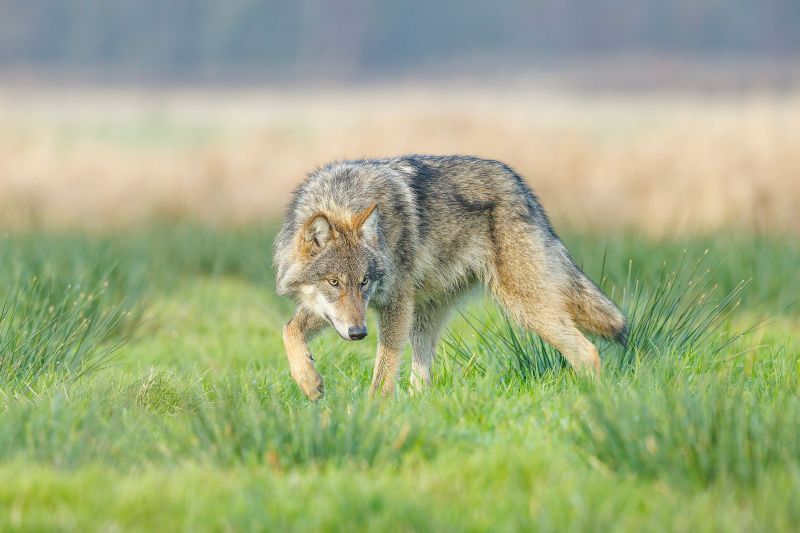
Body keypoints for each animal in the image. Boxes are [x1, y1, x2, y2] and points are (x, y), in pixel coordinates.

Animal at [274, 155, 624, 400]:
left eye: (364, 282)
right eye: (334, 282)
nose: (359, 333)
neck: (342, 199)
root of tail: (519, 184)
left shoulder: (396, 304)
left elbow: (383, 373)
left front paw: (371, 413)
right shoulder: (335, 311)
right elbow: (289, 330)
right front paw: (309, 381)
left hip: (524, 307)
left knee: (588, 352)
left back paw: (593, 403)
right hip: (424, 317)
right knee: (422, 381)